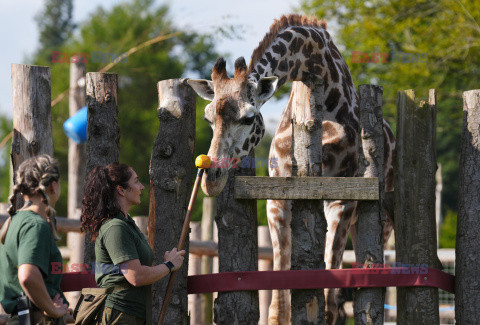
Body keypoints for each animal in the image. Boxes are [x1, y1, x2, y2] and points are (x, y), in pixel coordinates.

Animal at [187, 13, 394, 322]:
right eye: (207, 117)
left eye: (249, 118)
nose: (211, 178)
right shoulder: (277, 201)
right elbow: (277, 305)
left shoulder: (342, 200)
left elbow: (328, 300)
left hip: (384, 220)